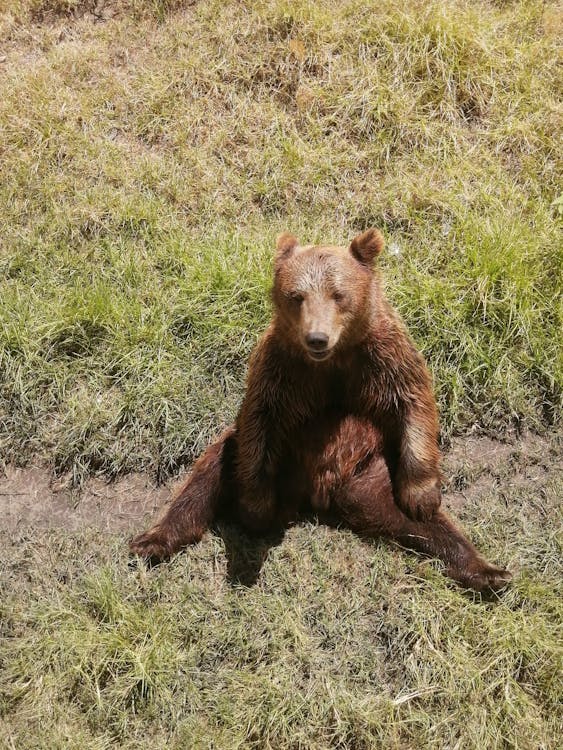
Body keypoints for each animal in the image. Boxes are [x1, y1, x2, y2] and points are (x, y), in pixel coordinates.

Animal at [131, 229, 512, 592]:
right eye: (296, 296)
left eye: (338, 294)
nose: (317, 337)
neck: (334, 358)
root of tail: (318, 495)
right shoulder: (283, 369)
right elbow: (259, 417)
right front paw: (254, 509)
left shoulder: (383, 355)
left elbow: (413, 402)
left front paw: (422, 496)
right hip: (280, 462)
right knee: (208, 472)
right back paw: (153, 540)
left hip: (373, 476)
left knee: (425, 526)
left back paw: (488, 571)